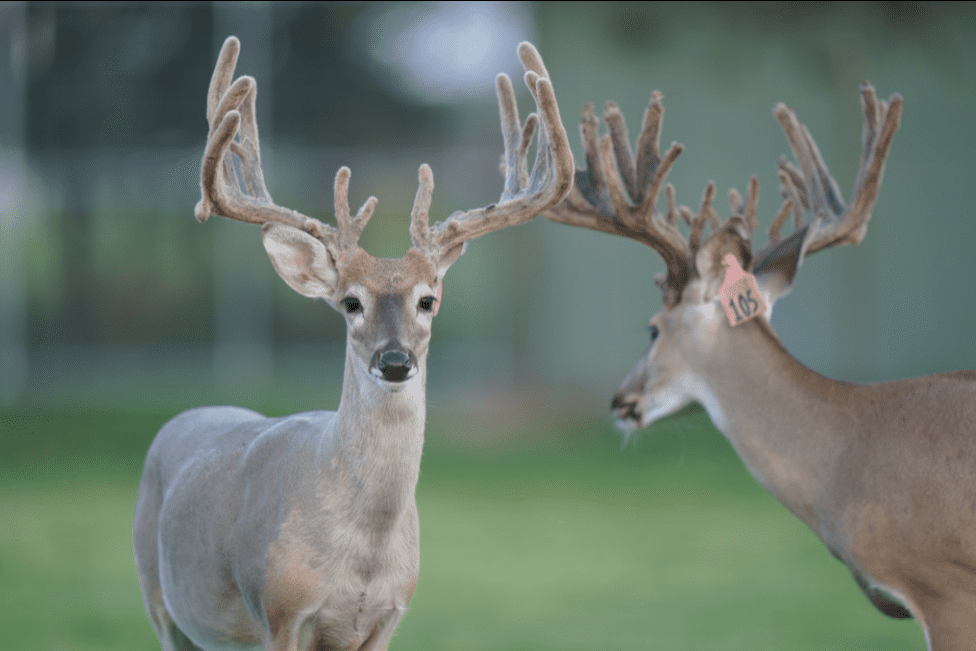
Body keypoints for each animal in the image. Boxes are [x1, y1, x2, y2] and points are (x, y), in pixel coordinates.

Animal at [133, 36, 572, 651]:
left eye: (428, 300)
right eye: (350, 303)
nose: (394, 361)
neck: (365, 553)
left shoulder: (387, 617)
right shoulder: (279, 611)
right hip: (163, 602)